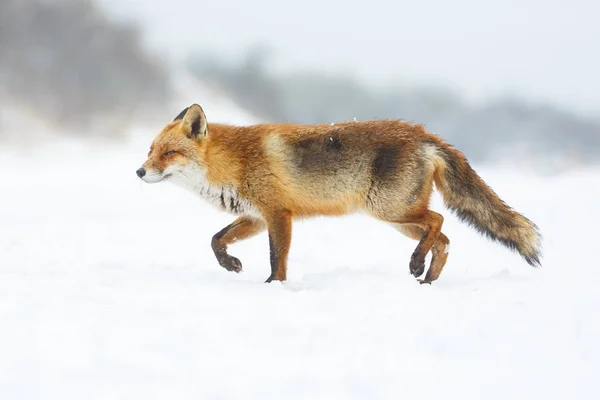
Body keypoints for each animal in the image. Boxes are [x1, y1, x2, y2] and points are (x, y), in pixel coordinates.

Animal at [138, 104, 540, 282]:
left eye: (168, 153)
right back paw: (427, 278)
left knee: (439, 221)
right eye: (150, 150)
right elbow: (215, 239)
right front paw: (230, 265)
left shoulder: (278, 215)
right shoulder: (255, 216)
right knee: (443, 240)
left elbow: (277, 259)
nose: (139, 171)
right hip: (398, 219)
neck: (233, 162)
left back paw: (417, 264)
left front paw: (273, 287)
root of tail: (424, 133)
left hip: (391, 210)